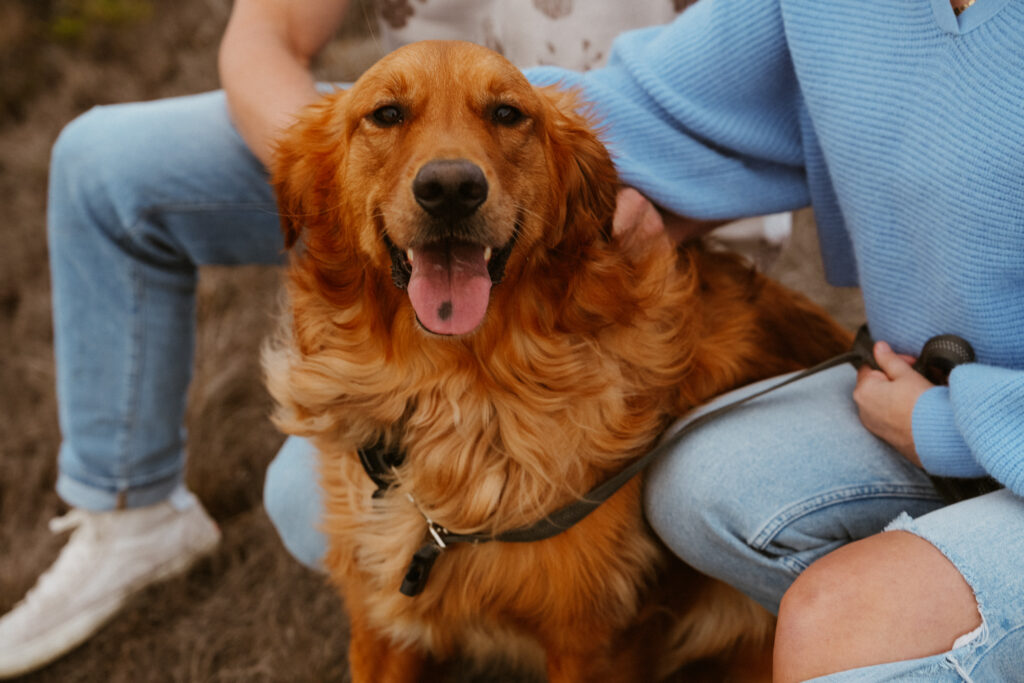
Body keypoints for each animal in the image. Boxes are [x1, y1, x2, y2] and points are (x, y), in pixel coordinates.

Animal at [262, 40, 847, 679]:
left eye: (507, 114)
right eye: (387, 114)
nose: (450, 189)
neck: (454, 388)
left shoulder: (592, 640)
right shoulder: (379, 620)